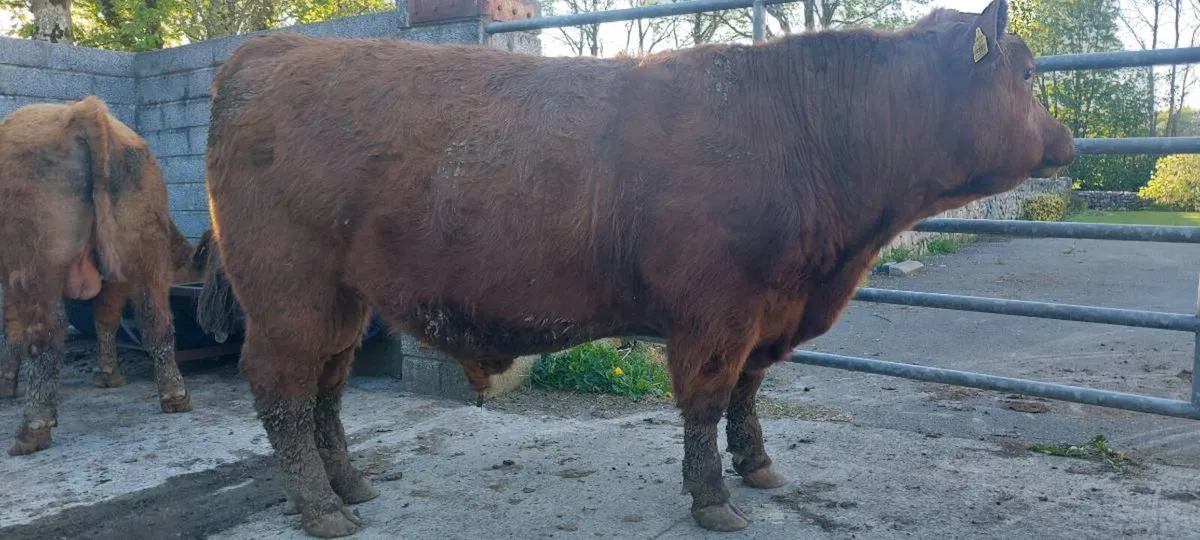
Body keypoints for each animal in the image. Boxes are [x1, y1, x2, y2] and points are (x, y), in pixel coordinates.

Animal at [0, 96, 195, 456]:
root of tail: (84, 111)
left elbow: (12, 328)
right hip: (142, 245)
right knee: (154, 317)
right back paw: (173, 395)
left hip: (35, 261)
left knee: (45, 332)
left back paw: (32, 430)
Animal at [196, 0, 1074, 536]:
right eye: (1029, 74)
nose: (1066, 140)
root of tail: (271, 49)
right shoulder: (718, 312)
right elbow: (707, 398)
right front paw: (714, 499)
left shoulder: (767, 311)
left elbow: (748, 392)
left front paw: (758, 468)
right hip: (287, 290)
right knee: (281, 388)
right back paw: (321, 509)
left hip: (340, 299)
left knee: (326, 389)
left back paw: (350, 485)